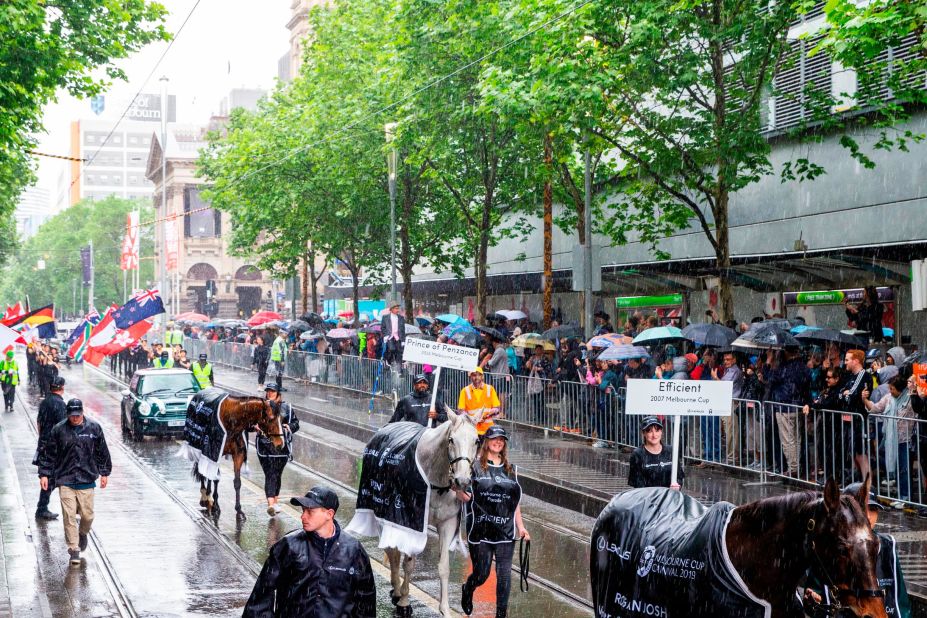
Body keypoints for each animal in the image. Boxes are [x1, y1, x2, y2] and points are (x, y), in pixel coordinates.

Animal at [348, 406, 478, 612]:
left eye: (477, 440)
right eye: (451, 440)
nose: (463, 480)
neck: (436, 482)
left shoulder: (448, 523)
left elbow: (444, 567)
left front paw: (445, 609)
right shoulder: (410, 520)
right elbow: (408, 562)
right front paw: (404, 600)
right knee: (392, 552)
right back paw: (396, 588)